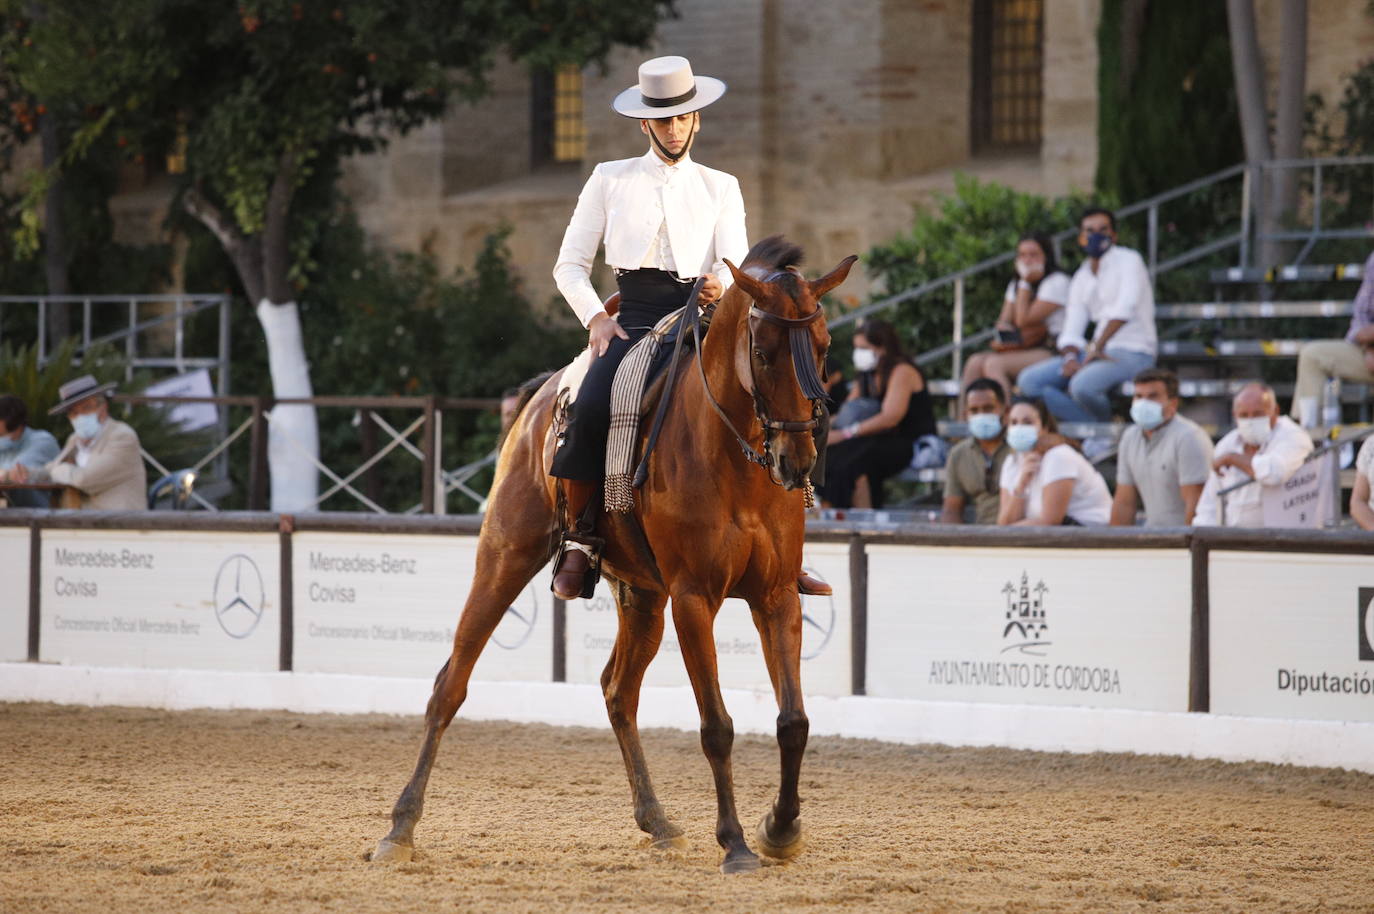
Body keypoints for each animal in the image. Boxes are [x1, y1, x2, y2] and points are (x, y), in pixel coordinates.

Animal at [370, 233, 851, 868]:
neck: (731, 456)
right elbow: (716, 726)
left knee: (618, 692)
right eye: (764, 352)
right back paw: (399, 828)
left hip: (642, 598)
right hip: (505, 558)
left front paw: (782, 828)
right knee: (449, 685)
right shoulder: (693, 600)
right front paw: (735, 843)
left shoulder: (775, 597)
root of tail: (543, 395)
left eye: (823, 348)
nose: (795, 462)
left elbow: (793, 719)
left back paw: (658, 820)